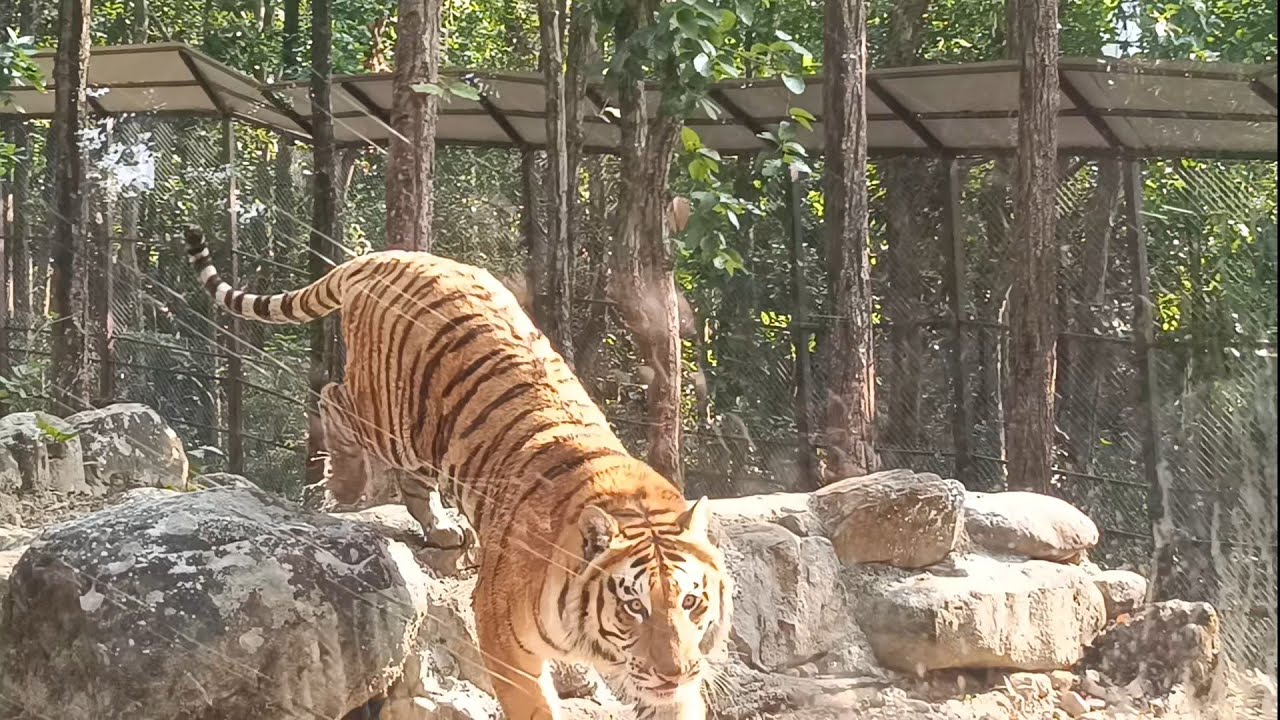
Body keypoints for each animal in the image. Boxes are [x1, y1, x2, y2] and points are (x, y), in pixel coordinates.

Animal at [183, 226, 732, 720]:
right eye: (634, 606)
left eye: (691, 601)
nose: (677, 672)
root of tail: (389, 255)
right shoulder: (503, 638)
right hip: (391, 418)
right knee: (334, 397)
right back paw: (346, 482)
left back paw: (442, 526)